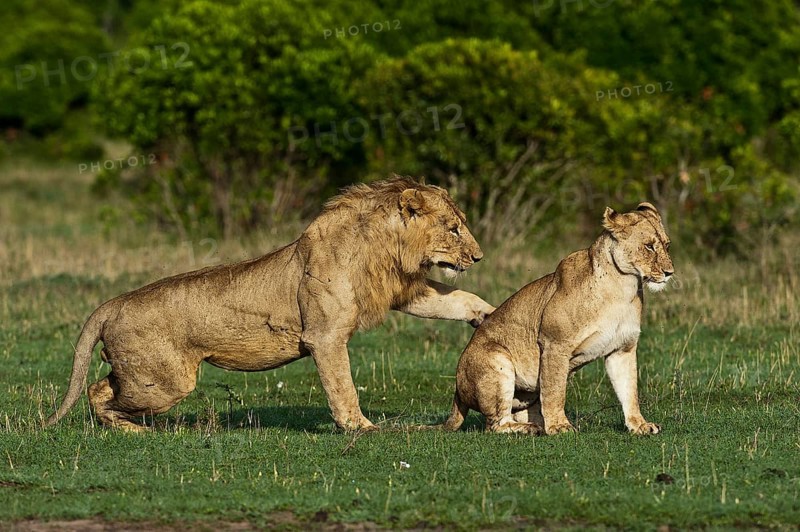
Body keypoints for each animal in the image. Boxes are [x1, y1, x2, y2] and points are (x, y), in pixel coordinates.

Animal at [45, 175, 495, 432]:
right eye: (454, 228)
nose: (478, 257)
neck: (384, 250)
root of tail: (113, 303)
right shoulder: (324, 336)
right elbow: (342, 385)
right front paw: (359, 427)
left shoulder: (402, 290)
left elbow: (455, 299)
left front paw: (488, 316)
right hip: (166, 381)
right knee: (95, 390)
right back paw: (130, 429)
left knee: (101, 386)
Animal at [441, 202, 673, 435]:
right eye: (649, 246)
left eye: (667, 245)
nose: (669, 272)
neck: (622, 287)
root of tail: (457, 392)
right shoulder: (555, 345)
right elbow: (555, 390)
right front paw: (560, 426)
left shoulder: (622, 349)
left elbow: (630, 392)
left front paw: (640, 425)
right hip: (497, 360)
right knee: (495, 425)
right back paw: (530, 429)